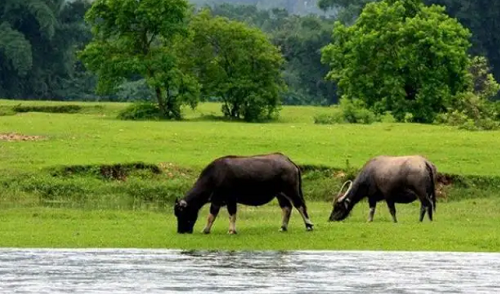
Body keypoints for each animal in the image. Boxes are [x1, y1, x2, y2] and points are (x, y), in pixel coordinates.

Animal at [173, 154, 312, 234]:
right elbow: (214, 216)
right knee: (287, 208)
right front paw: (208, 230)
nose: (180, 231)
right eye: (176, 214)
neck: (214, 176)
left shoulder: (228, 200)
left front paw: (230, 230)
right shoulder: (219, 200)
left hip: (291, 190)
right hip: (280, 194)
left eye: (182, 213)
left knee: (300, 205)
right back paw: (283, 227)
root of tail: (289, 162)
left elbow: (227, 215)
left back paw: (309, 226)